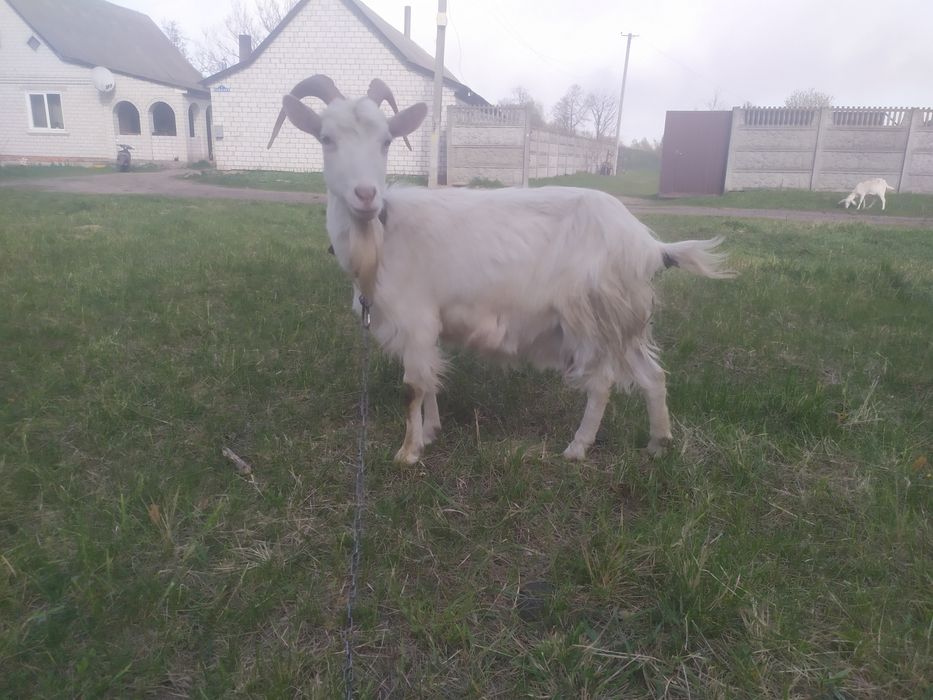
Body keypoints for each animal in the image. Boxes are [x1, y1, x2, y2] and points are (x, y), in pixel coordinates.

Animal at [268, 75, 734, 464]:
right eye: (325, 138)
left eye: (386, 141)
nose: (366, 195)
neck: (381, 236)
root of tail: (649, 244)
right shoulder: (425, 326)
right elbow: (431, 380)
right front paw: (433, 431)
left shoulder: (415, 318)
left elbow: (413, 387)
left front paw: (409, 452)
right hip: (624, 317)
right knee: (653, 376)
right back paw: (658, 443)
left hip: (590, 314)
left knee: (602, 382)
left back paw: (577, 448)